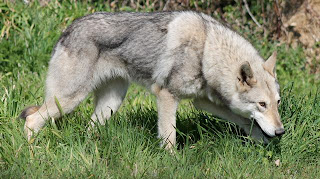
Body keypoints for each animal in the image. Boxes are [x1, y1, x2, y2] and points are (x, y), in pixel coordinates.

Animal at [20, 11, 284, 148]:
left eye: (278, 103)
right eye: (262, 104)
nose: (281, 131)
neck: (206, 50)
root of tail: (67, 29)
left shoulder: (202, 101)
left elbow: (246, 121)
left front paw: (263, 140)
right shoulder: (167, 96)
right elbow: (169, 137)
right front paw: (173, 161)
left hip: (110, 103)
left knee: (89, 128)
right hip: (70, 100)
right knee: (32, 120)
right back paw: (32, 153)